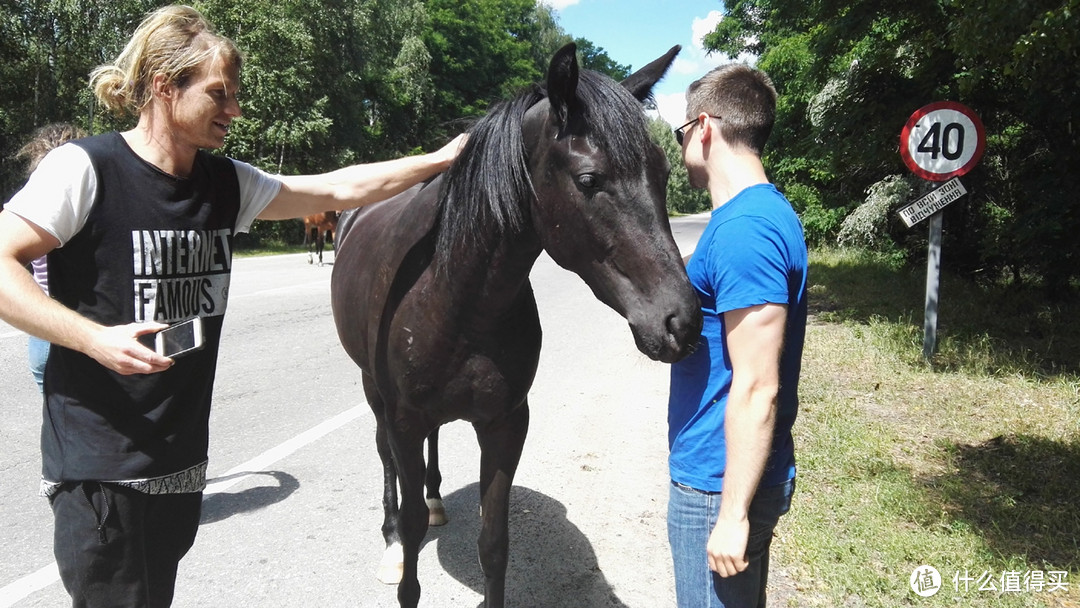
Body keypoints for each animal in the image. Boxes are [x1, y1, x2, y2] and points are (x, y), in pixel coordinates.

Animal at [330, 44, 699, 608]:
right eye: (589, 180)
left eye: (661, 173)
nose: (682, 320)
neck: (455, 297)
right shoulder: (404, 419)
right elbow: (412, 527)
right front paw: (403, 548)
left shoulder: (506, 423)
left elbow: (494, 541)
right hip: (375, 393)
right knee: (387, 462)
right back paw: (391, 541)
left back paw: (436, 498)